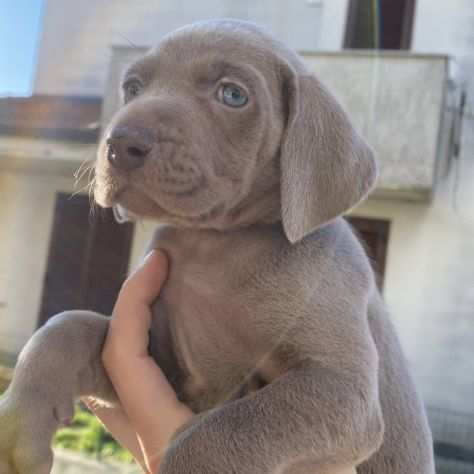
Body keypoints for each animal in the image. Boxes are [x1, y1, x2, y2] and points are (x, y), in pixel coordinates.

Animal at [0, 19, 436, 474]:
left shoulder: (342, 387)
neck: (214, 246)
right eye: (133, 88)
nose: (118, 144)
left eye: (233, 95)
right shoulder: (161, 364)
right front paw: (18, 432)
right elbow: (65, 327)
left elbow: (223, 431)